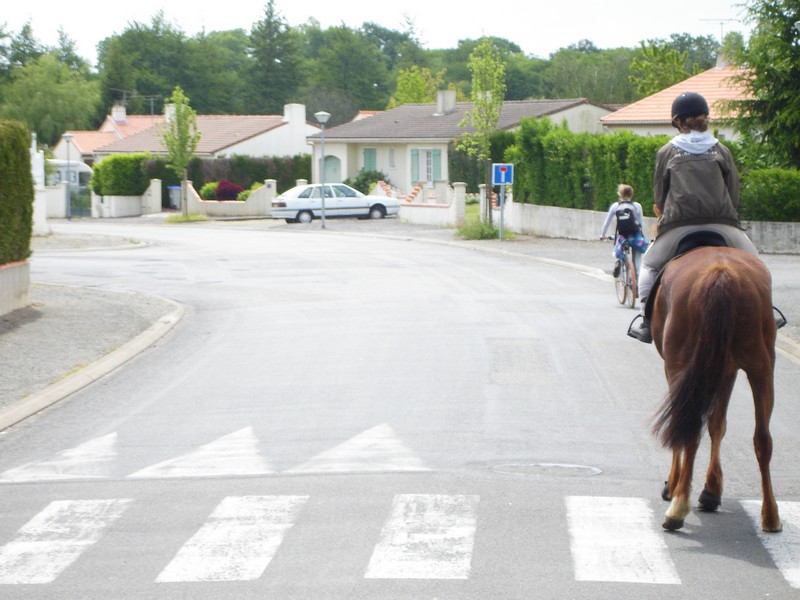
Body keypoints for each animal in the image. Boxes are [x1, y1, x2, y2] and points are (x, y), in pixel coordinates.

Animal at [648, 246, 780, 532]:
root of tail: (721, 274)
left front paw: (674, 486)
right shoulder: (727, 370)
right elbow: (718, 425)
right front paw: (711, 491)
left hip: (680, 364)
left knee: (688, 429)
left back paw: (677, 507)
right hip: (762, 368)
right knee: (763, 438)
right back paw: (771, 516)